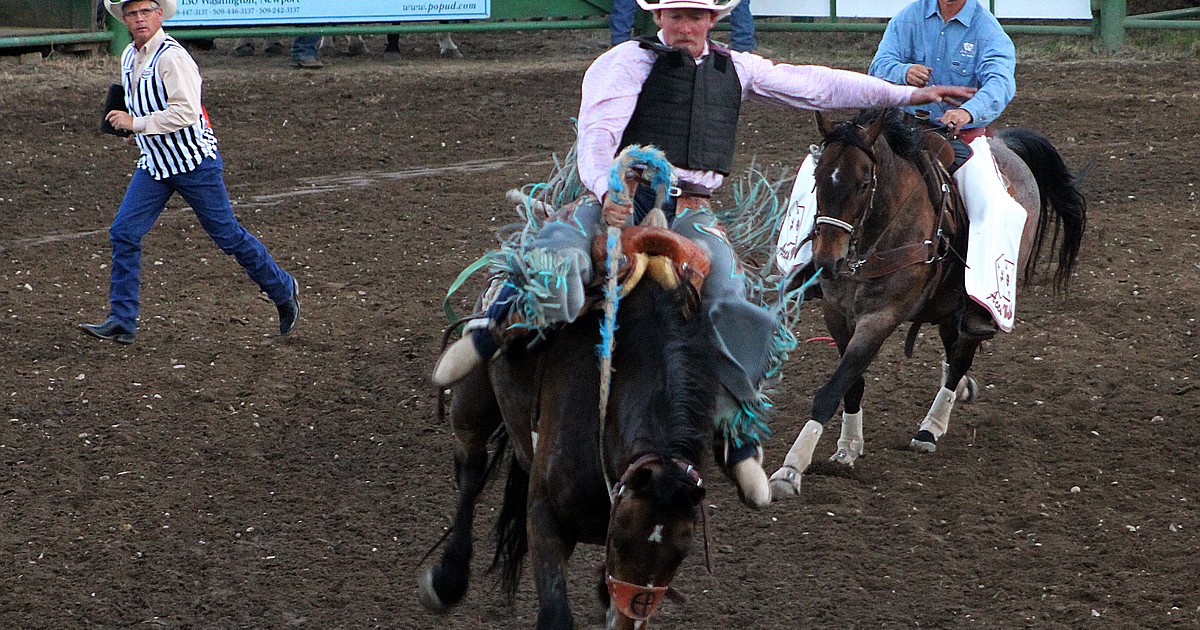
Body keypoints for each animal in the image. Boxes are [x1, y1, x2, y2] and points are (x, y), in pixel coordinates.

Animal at [768, 109, 1089, 501]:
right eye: (817, 178)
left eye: (863, 183)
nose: (827, 261)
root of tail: (1006, 145)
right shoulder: (838, 316)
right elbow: (851, 383)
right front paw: (848, 448)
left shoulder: (880, 318)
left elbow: (833, 387)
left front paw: (791, 469)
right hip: (948, 303)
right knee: (952, 347)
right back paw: (961, 388)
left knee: (962, 352)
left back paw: (931, 427)